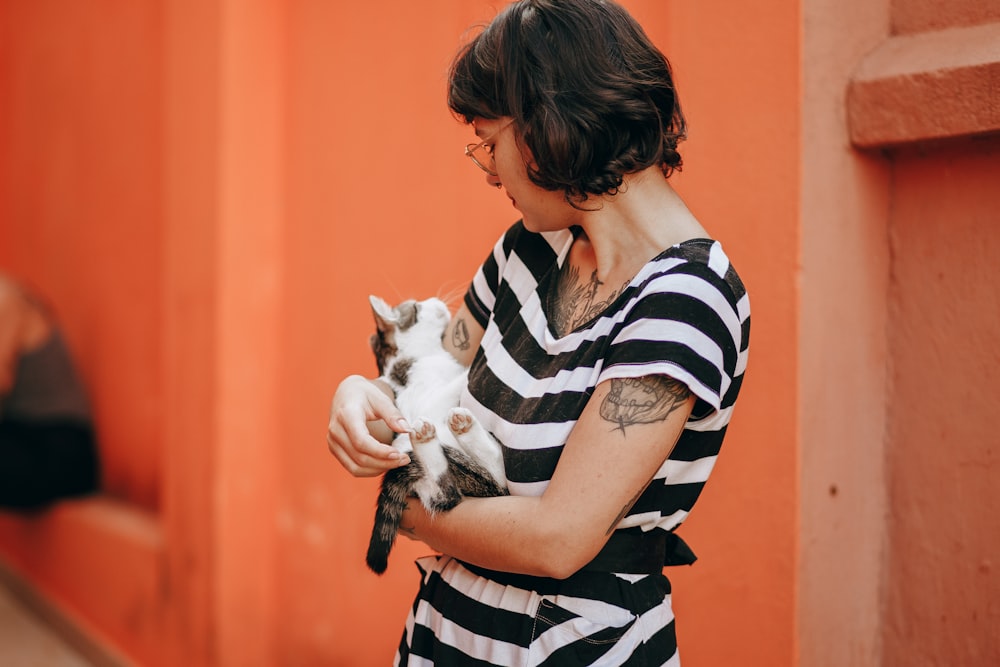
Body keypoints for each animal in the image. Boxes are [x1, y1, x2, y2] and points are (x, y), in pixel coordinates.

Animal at [366, 294, 508, 576]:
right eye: (416, 307)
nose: (435, 301)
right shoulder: (426, 400)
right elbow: (454, 384)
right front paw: (469, 370)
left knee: (445, 494)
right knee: (461, 488)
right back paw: (448, 431)